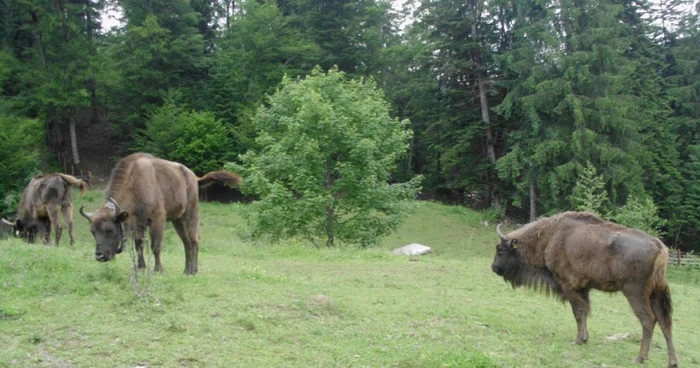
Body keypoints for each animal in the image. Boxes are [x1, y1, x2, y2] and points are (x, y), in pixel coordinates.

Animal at [78, 151, 241, 274]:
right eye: (92, 231)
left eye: (110, 230)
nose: (99, 256)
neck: (135, 182)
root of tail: (194, 177)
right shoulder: (139, 224)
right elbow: (139, 245)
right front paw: (141, 267)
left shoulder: (157, 220)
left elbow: (155, 246)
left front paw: (158, 270)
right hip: (177, 219)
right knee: (186, 242)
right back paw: (186, 271)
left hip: (191, 212)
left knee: (194, 238)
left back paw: (194, 270)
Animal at [492, 211, 680, 368]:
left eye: (500, 250)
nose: (494, 267)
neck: (551, 237)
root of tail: (659, 247)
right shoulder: (584, 288)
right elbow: (584, 312)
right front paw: (584, 338)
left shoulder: (568, 286)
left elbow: (578, 312)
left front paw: (579, 340)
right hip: (655, 294)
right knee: (665, 322)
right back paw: (672, 362)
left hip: (635, 292)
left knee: (648, 320)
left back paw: (640, 358)